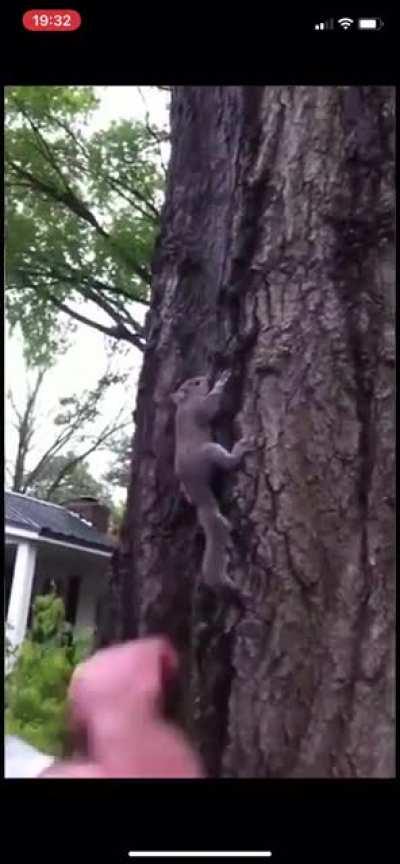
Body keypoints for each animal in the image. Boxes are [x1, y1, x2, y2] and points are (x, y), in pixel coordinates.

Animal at [171, 370, 252, 587]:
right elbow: (210, 407)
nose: (207, 377)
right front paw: (221, 381)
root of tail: (197, 492)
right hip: (209, 451)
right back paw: (239, 450)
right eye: (196, 383)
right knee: (228, 462)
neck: (185, 403)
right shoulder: (198, 409)